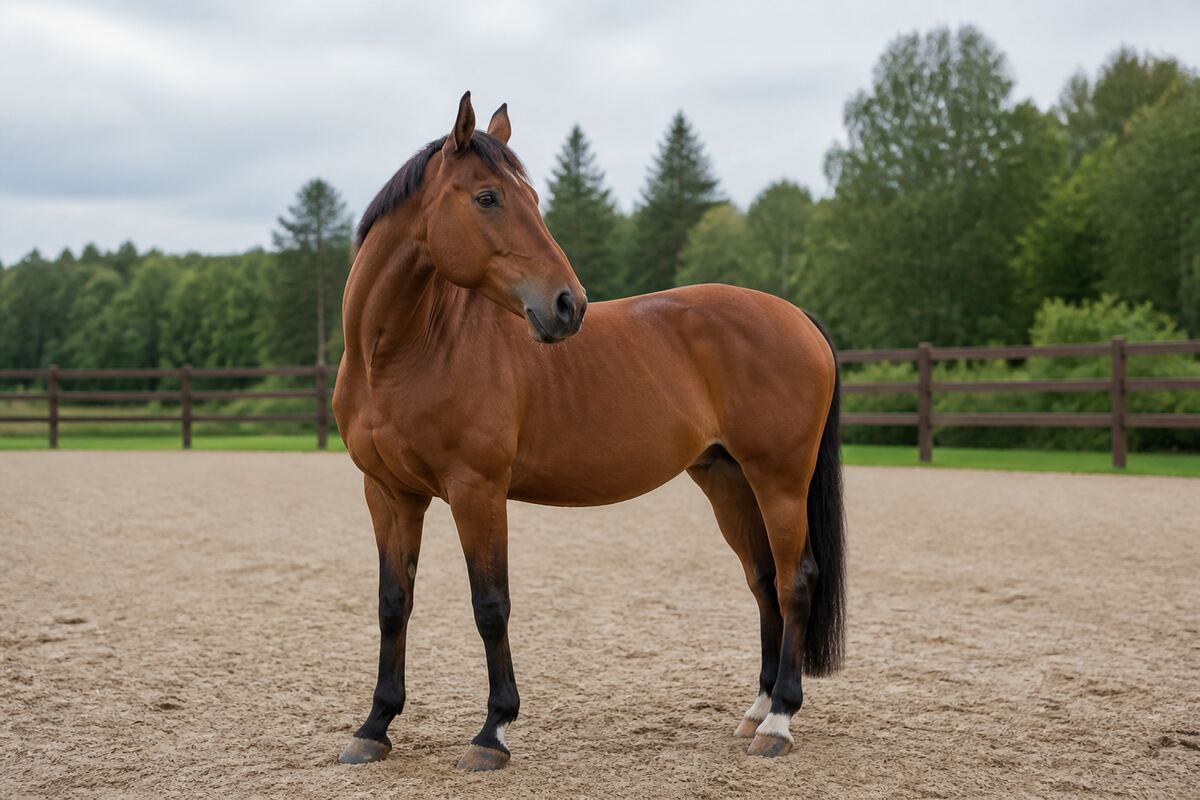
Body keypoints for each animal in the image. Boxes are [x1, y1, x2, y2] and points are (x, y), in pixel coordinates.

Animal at [333, 92, 845, 771]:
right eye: (488, 197)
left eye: (533, 199)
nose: (567, 305)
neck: (405, 351)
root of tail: (797, 317)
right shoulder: (388, 493)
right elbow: (394, 604)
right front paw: (375, 726)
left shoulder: (477, 491)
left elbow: (490, 605)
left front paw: (493, 731)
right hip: (728, 481)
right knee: (763, 581)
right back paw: (758, 709)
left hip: (779, 480)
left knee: (795, 580)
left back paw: (781, 719)